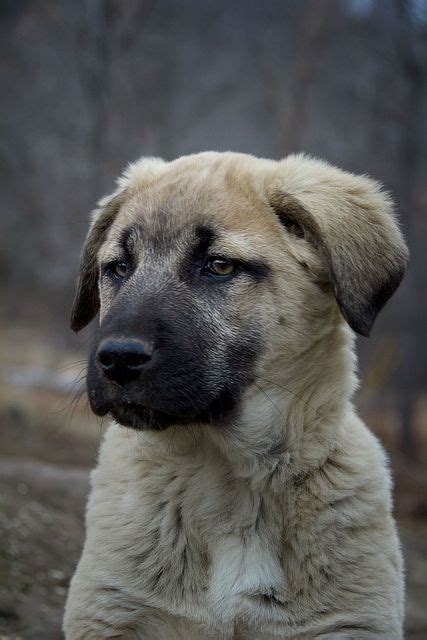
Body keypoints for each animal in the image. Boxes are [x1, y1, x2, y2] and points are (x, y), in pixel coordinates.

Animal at [62, 152, 408, 636]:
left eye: (219, 266)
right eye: (119, 267)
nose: (117, 359)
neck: (228, 480)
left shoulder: (349, 623)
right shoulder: (114, 612)